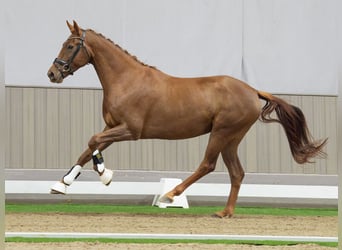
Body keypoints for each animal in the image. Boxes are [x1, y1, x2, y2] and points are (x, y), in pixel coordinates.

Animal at [47, 21, 326, 217]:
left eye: (70, 46)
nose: (52, 73)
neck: (126, 80)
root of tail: (252, 90)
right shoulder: (113, 126)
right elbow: (89, 148)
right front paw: (62, 184)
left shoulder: (130, 130)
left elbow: (92, 142)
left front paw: (105, 174)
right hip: (231, 139)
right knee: (236, 173)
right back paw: (225, 213)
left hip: (222, 133)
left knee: (208, 165)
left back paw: (171, 195)